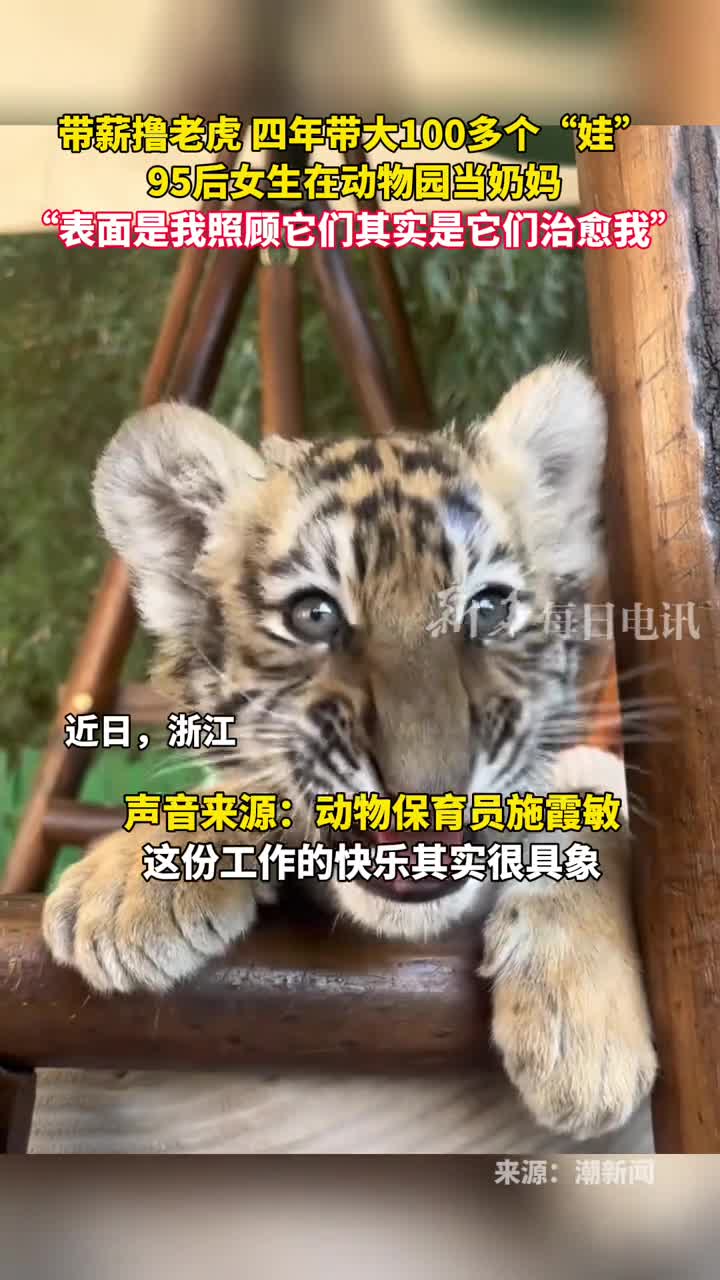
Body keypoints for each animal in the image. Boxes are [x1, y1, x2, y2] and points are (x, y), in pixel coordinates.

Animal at [42, 360, 657, 1140]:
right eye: (314, 615)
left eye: (489, 609)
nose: (429, 791)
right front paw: (124, 888)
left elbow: (592, 801)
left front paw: (583, 1034)